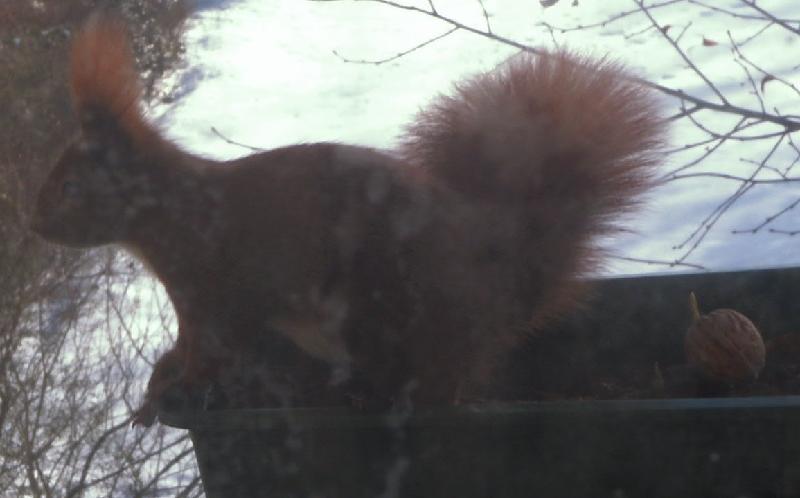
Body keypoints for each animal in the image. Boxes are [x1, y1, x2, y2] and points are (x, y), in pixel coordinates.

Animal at [32, 13, 665, 426]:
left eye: (70, 187)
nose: (36, 228)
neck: (173, 210)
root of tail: (502, 297)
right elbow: (188, 346)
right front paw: (158, 386)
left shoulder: (214, 289)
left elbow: (209, 349)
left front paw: (177, 388)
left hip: (386, 310)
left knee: (433, 387)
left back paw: (379, 399)